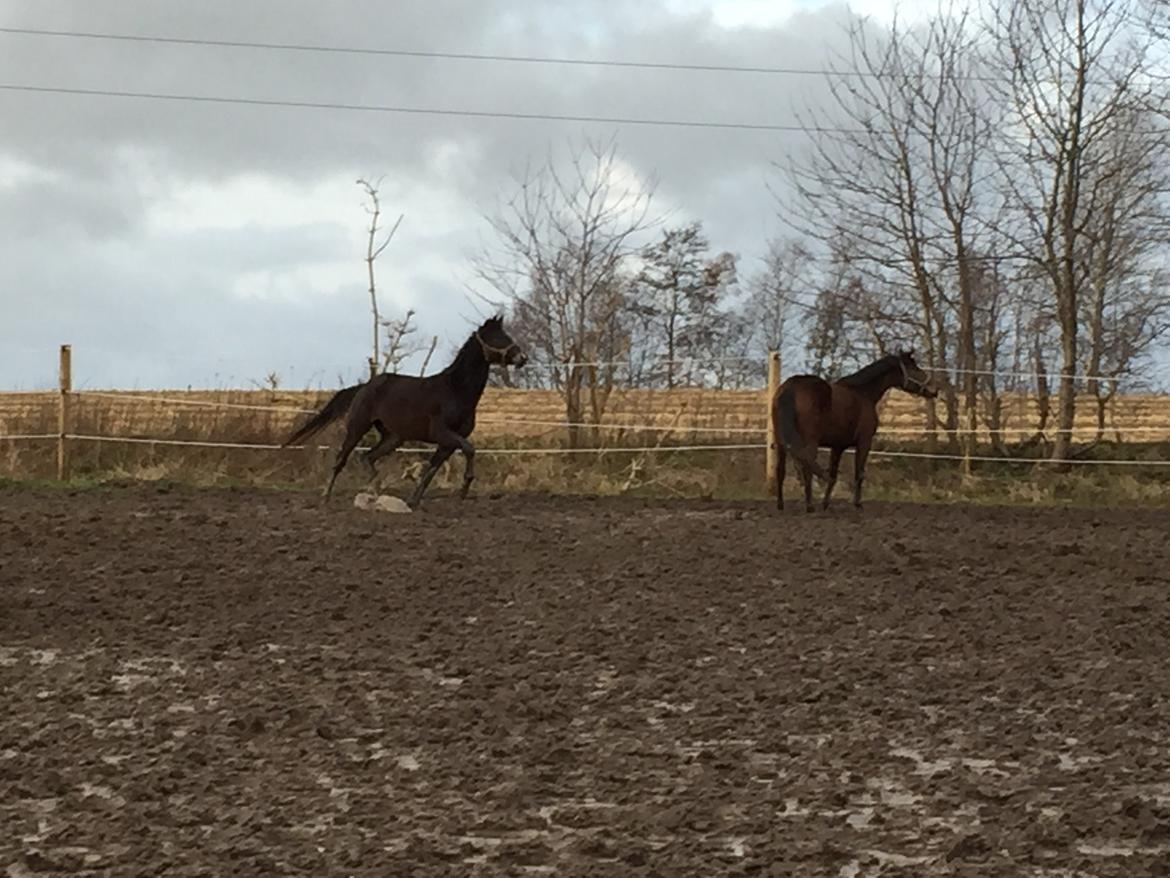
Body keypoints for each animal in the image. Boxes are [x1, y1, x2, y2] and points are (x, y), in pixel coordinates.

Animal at [283, 316, 526, 508]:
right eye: (498, 338)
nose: (522, 358)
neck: (455, 390)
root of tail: (365, 386)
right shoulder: (442, 433)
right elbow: (469, 449)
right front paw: (464, 487)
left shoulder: (447, 442)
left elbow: (431, 470)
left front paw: (414, 501)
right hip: (357, 427)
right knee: (342, 459)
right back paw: (327, 496)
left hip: (393, 438)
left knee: (367, 456)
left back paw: (374, 489)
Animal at [772, 353, 935, 515]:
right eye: (914, 368)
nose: (935, 389)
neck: (863, 393)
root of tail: (790, 388)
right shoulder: (864, 442)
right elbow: (859, 473)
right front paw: (857, 504)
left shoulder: (838, 447)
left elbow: (834, 474)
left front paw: (826, 503)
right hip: (810, 441)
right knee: (807, 467)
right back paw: (810, 506)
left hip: (781, 442)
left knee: (781, 470)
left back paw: (780, 505)